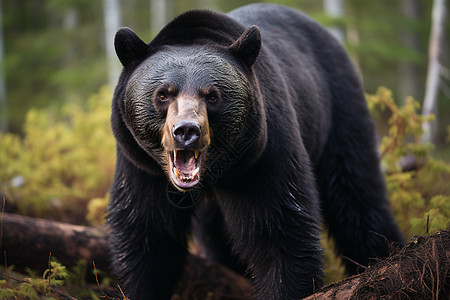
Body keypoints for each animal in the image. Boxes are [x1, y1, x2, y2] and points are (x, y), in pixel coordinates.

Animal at [108, 2, 404, 300]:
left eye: (212, 96)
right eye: (163, 94)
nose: (187, 131)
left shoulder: (260, 156)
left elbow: (279, 231)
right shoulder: (143, 168)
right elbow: (149, 236)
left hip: (339, 111)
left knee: (356, 194)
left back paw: (382, 255)